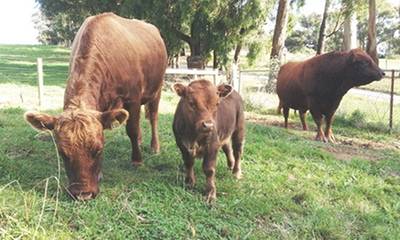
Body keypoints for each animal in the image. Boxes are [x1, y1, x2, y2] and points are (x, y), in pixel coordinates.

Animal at [23, 13, 167, 201]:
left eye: (98, 150)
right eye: (62, 153)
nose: (83, 194)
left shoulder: (133, 98)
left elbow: (132, 129)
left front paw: (137, 160)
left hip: (157, 89)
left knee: (153, 117)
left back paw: (154, 147)